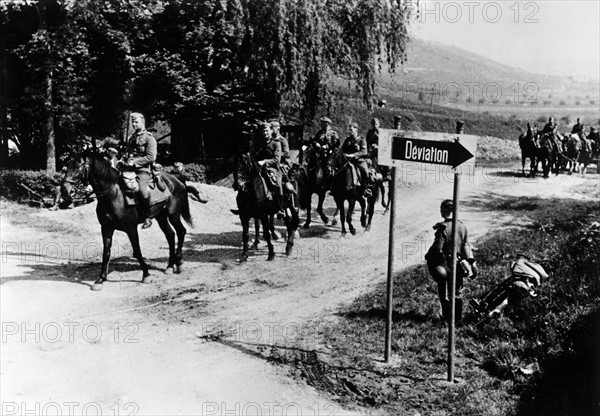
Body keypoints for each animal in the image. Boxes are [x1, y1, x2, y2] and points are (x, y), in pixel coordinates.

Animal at [61, 151, 192, 290]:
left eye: (78, 167)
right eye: (68, 166)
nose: (64, 190)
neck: (114, 195)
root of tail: (176, 179)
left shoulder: (131, 228)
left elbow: (137, 251)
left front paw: (146, 275)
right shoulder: (106, 228)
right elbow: (106, 253)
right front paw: (100, 279)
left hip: (173, 215)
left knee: (181, 232)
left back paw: (178, 263)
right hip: (160, 217)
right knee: (170, 235)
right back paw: (170, 266)